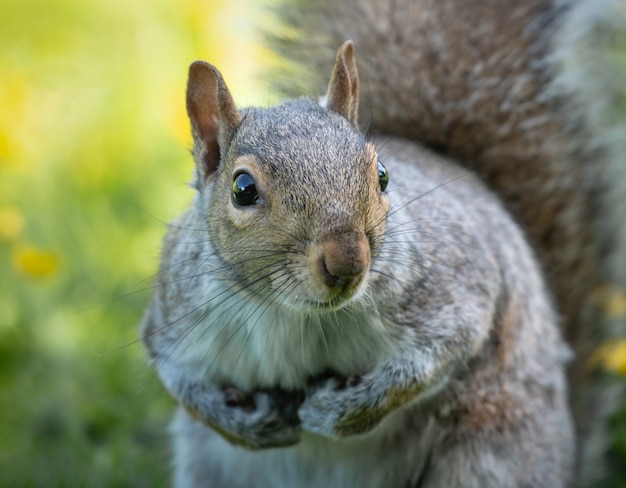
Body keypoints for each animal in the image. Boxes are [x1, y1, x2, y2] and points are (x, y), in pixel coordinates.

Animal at [140, 0, 624, 488]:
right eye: (242, 189)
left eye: (382, 175)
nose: (347, 262)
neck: (294, 314)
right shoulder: (173, 309)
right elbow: (175, 375)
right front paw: (244, 423)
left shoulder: (452, 289)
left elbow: (433, 358)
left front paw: (336, 411)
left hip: (489, 449)